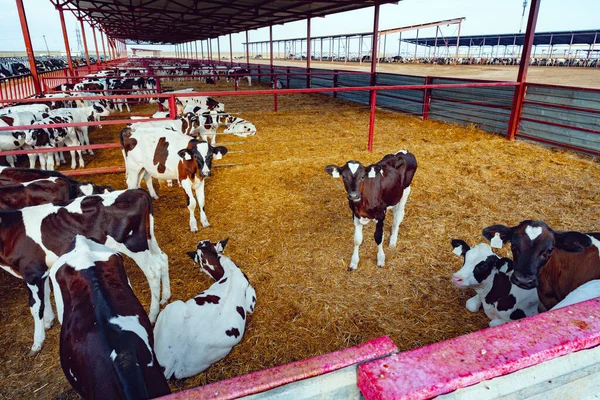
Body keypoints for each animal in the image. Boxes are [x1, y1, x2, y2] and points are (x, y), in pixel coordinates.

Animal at [0, 189, 170, 354]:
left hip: (134, 244)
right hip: (149, 238)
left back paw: (152, 314)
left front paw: (37, 343)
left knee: (153, 271)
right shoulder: (42, 271)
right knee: (162, 259)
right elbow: (47, 295)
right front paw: (49, 321)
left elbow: (36, 307)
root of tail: (138, 191)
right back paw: (165, 297)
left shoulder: (32, 273)